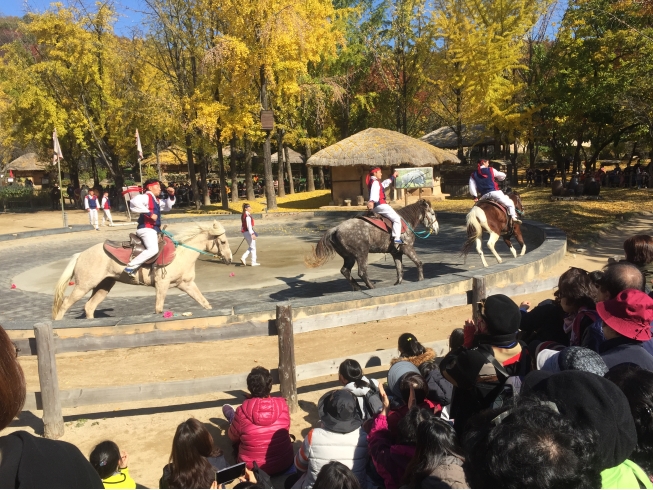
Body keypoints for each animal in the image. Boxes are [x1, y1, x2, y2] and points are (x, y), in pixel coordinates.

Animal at [52, 221, 232, 320]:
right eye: (223, 241)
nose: (229, 259)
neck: (180, 254)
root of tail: (80, 255)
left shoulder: (186, 284)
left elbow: (204, 303)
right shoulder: (162, 285)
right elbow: (159, 308)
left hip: (104, 286)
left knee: (89, 307)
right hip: (84, 286)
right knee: (65, 304)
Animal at [304, 200, 436, 290]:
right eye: (433, 213)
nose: (436, 228)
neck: (405, 221)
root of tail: (336, 229)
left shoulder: (396, 253)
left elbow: (400, 270)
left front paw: (397, 283)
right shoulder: (407, 248)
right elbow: (418, 263)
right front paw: (421, 279)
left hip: (349, 257)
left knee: (345, 271)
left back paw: (357, 287)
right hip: (362, 253)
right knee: (362, 271)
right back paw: (371, 286)